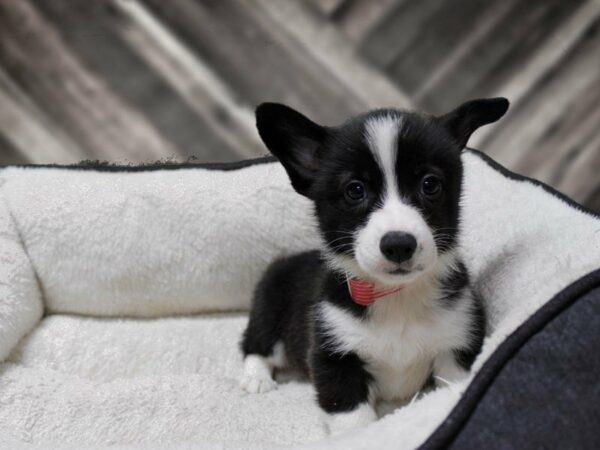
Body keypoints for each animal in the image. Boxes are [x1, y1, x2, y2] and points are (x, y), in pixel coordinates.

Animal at [239, 96, 506, 434]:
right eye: (355, 189)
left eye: (430, 184)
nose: (399, 244)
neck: (396, 296)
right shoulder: (334, 356)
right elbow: (353, 420)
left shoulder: (456, 344)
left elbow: (452, 387)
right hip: (269, 308)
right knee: (255, 345)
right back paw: (256, 379)